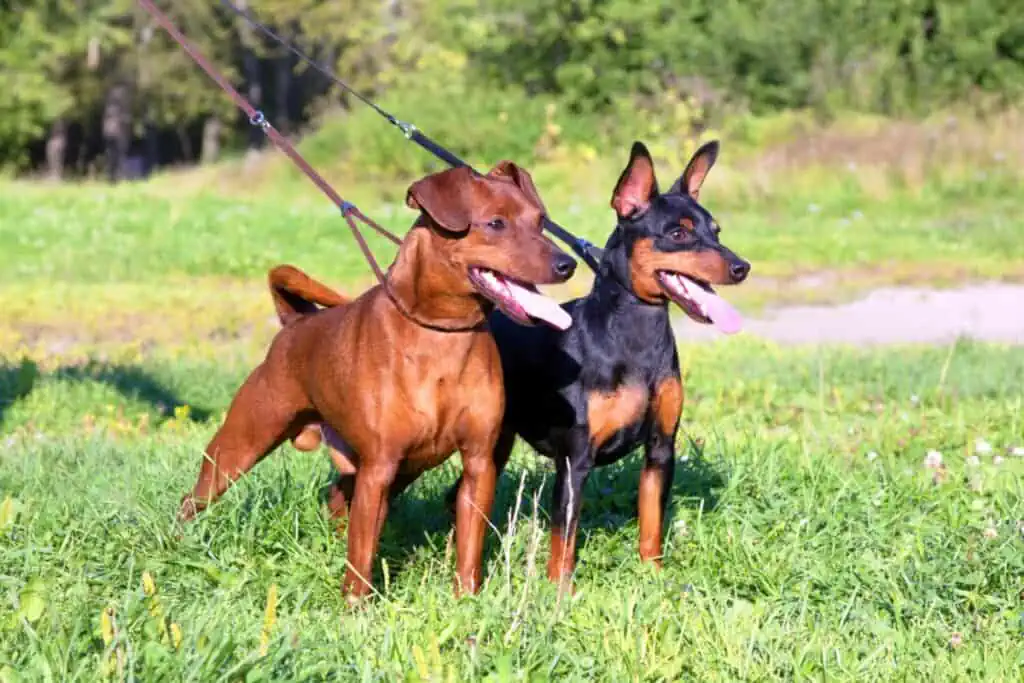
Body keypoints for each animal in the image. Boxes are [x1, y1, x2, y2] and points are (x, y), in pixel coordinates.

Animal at [178, 161, 577, 598]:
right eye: (495, 223)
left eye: (540, 221)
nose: (567, 264)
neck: (442, 334)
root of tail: (295, 324)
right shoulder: (379, 468)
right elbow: (362, 553)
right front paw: (355, 607)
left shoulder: (478, 463)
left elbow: (469, 546)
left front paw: (467, 599)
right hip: (240, 446)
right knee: (194, 498)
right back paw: (178, 543)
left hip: (403, 468)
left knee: (337, 497)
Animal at [444, 140, 749, 589]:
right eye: (677, 233)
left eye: (717, 231)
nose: (742, 267)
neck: (634, 340)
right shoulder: (576, 461)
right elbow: (564, 538)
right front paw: (558, 591)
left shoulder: (661, 449)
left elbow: (651, 523)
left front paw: (653, 575)